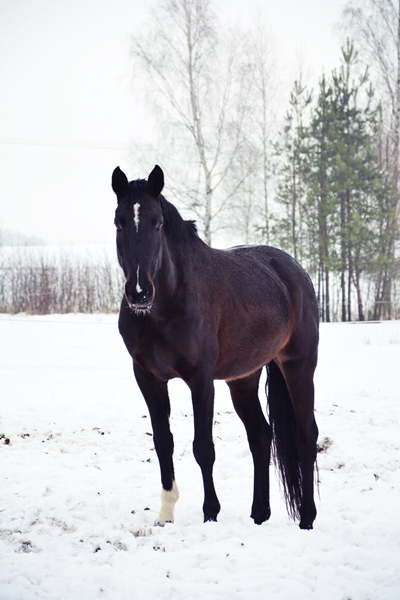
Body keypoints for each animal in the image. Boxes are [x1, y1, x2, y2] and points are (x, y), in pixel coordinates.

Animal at [110, 164, 318, 528]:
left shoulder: (201, 379)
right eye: (119, 222)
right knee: (261, 436)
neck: (168, 304)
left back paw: (307, 518)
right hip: (244, 380)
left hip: (299, 368)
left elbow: (203, 447)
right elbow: (163, 442)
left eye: (157, 222)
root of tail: (294, 272)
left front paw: (210, 512)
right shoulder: (148, 377)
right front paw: (165, 513)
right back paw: (259, 514)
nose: (139, 292)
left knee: (305, 437)